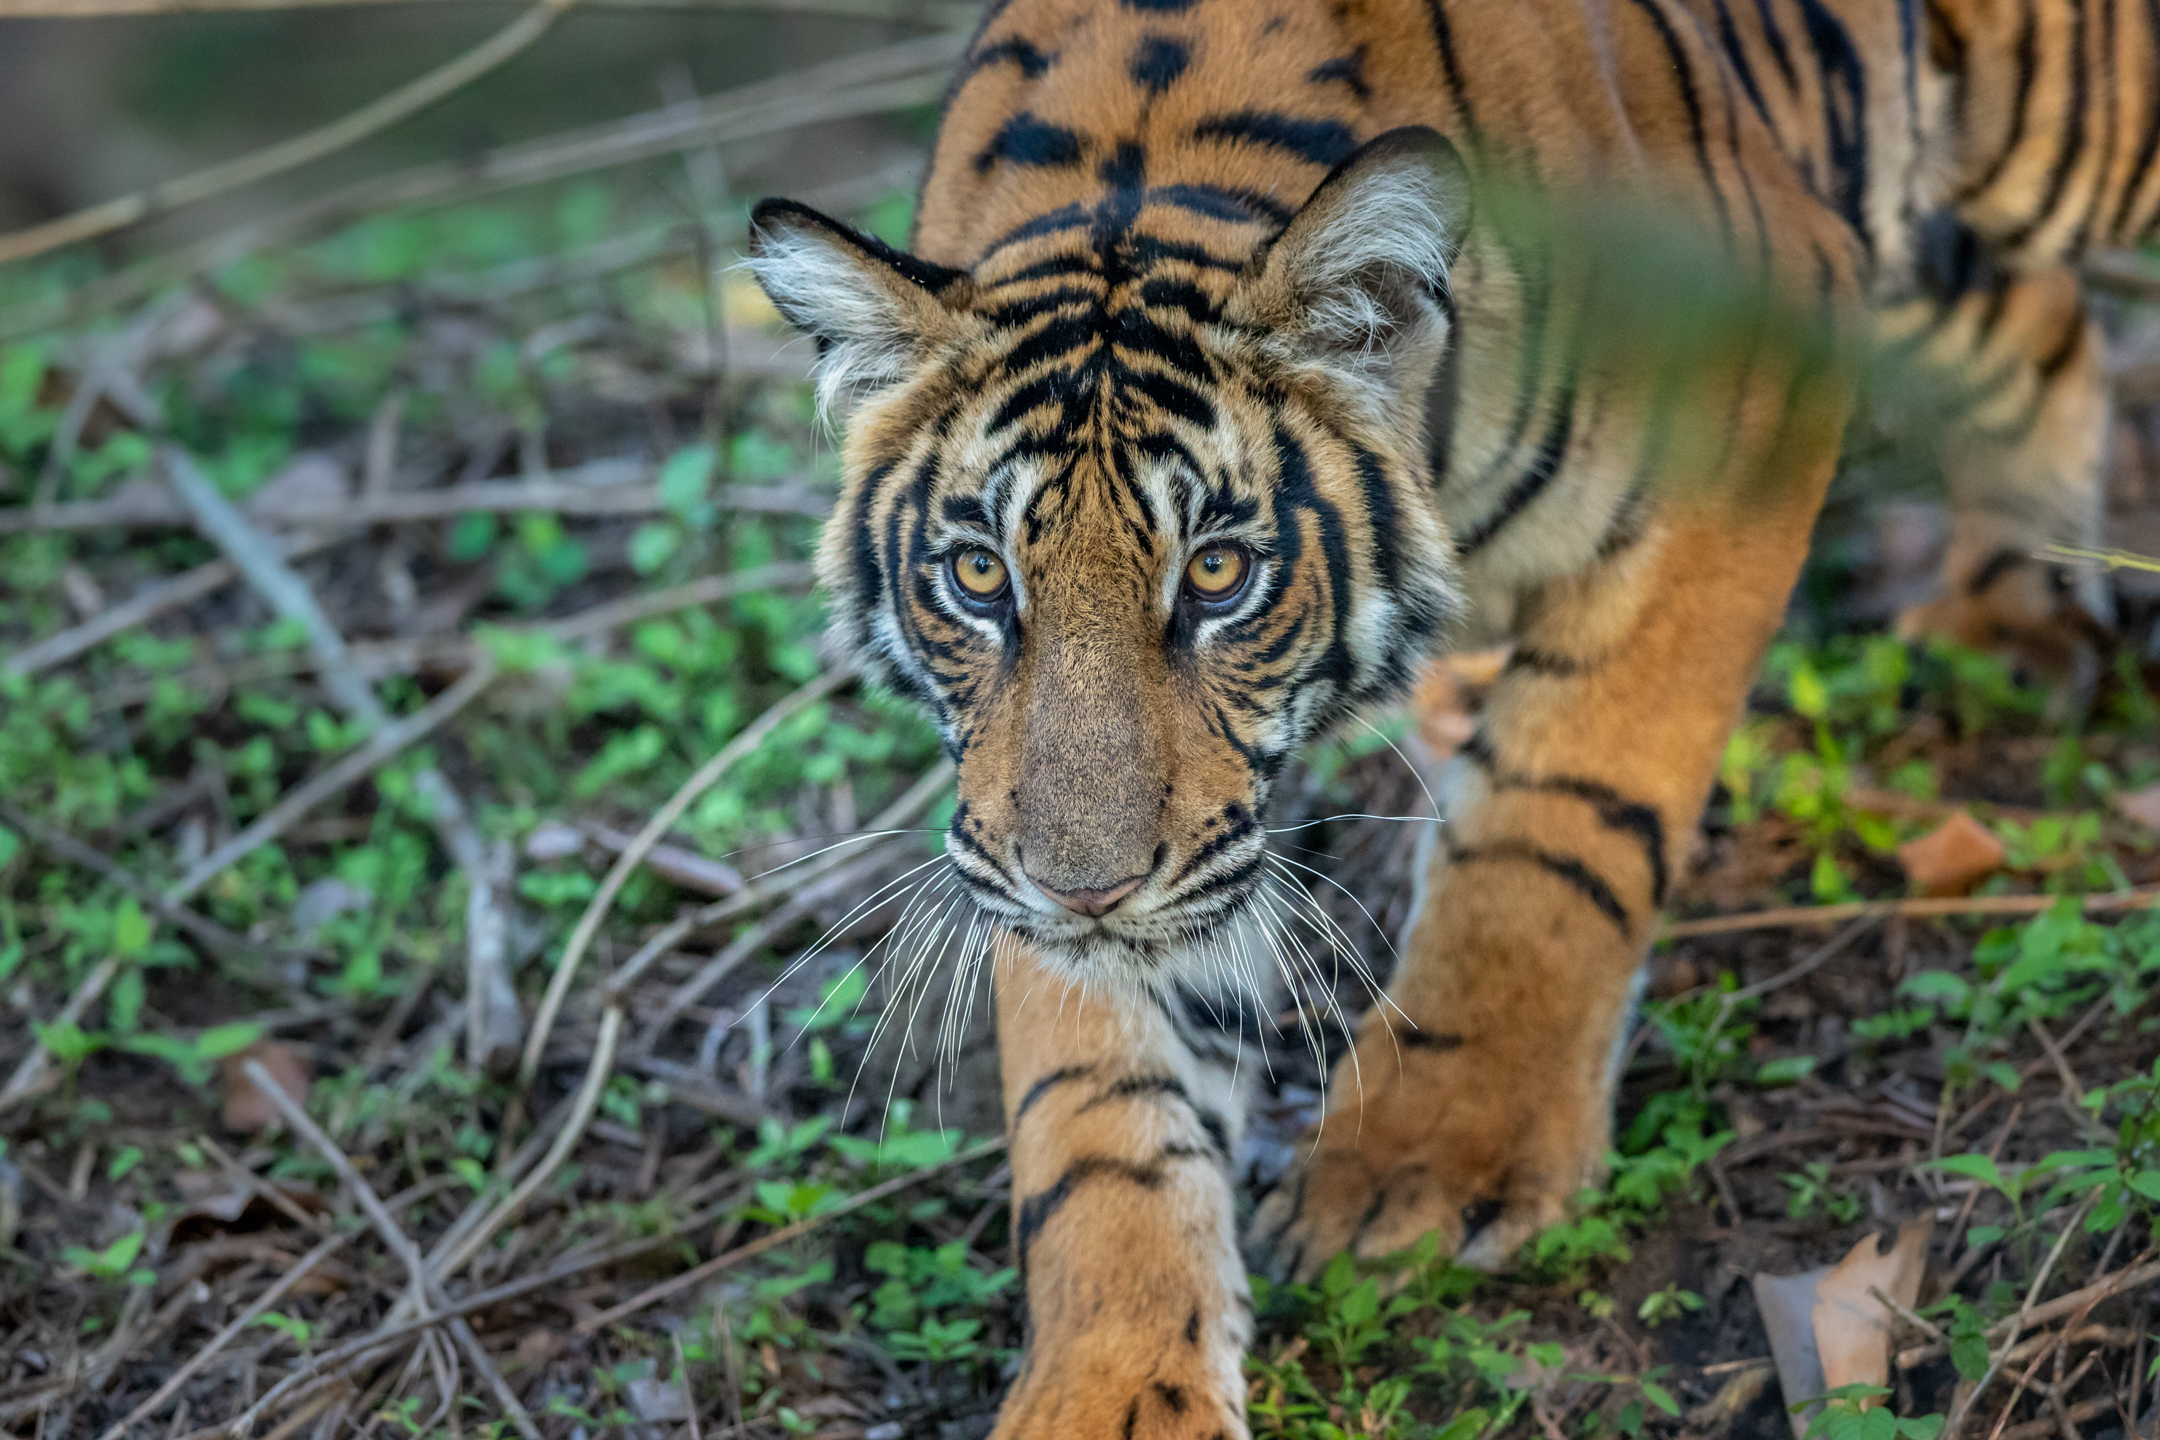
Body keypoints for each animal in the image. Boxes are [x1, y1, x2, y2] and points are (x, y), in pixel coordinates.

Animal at [745, 0, 2156, 1434]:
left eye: (1218, 573)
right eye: (980, 578)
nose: (1084, 890)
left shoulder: (1741, 415)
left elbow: (1559, 818)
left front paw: (1431, 1162)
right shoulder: (1037, 834)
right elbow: (1093, 1104)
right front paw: (1112, 1382)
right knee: (2039, 319)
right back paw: (2009, 622)